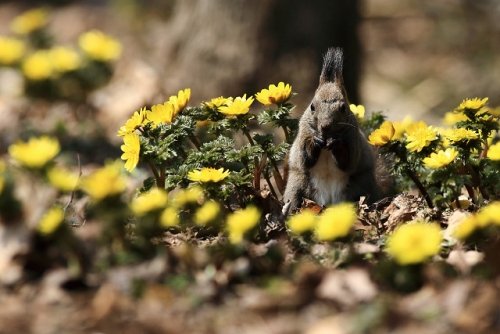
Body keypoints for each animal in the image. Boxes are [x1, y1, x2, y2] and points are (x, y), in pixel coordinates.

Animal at [282, 47, 386, 213]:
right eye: (312, 106)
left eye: (343, 108)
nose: (325, 126)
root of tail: (328, 203)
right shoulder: (304, 133)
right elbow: (305, 158)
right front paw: (314, 142)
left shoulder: (352, 138)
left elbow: (348, 160)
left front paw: (336, 144)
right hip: (297, 186)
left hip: (362, 186)